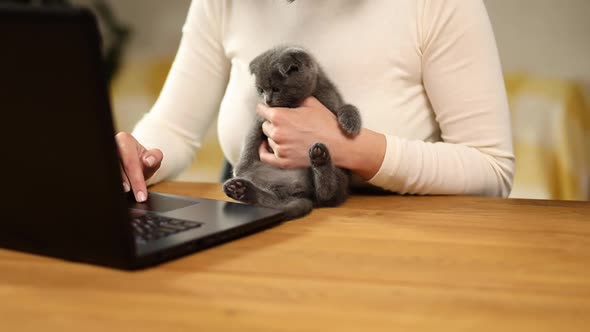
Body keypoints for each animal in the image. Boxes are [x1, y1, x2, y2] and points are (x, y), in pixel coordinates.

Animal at [222, 44, 360, 220]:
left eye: (276, 89)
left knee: (327, 194)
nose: (267, 100)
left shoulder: (332, 102)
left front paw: (351, 123)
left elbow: (346, 106)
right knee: (273, 201)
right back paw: (241, 189)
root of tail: (301, 192)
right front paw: (240, 167)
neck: (292, 105)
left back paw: (319, 158)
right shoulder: (262, 119)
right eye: (261, 90)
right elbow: (251, 138)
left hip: (339, 171)